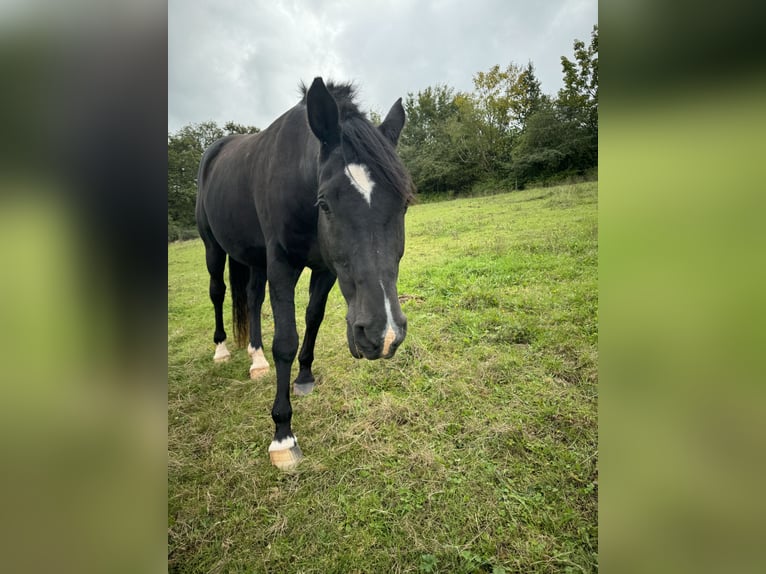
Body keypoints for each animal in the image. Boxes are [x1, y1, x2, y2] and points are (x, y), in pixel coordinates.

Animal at [195, 79, 416, 470]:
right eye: (325, 202)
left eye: (403, 203)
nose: (384, 334)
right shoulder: (282, 265)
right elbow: (286, 340)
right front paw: (282, 435)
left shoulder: (326, 269)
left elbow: (313, 317)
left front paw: (304, 376)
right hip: (213, 247)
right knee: (218, 292)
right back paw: (221, 350)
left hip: (254, 260)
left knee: (252, 299)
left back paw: (256, 359)